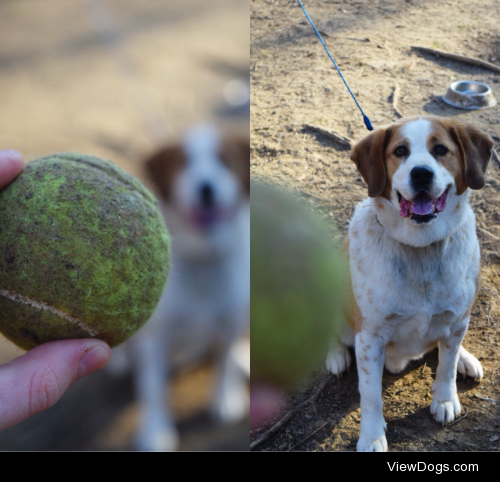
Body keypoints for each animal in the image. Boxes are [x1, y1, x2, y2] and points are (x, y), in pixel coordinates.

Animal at [326, 116, 494, 452]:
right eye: (400, 151)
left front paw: (445, 399)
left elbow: (445, 366)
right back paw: (336, 356)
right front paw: (371, 436)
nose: (421, 173)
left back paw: (465, 359)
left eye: (440, 149)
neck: (421, 248)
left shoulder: (458, 319)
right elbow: (371, 395)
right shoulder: (370, 338)